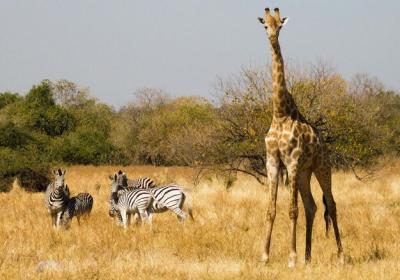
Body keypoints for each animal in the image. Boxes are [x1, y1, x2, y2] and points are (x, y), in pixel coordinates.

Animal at [258, 8, 346, 266]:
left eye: (280, 25)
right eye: (265, 26)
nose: (273, 37)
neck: (279, 113)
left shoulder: (292, 161)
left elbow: (292, 210)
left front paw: (291, 257)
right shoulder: (272, 162)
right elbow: (271, 209)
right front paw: (264, 256)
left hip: (322, 167)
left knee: (331, 205)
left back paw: (340, 256)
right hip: (306, 173)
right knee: (313, 206)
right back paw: (308, 257)